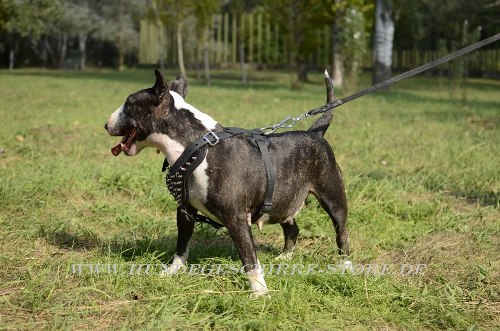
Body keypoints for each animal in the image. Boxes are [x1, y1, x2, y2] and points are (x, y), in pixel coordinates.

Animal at [104, 70, 350, 298]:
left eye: (129, 103)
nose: (106, 124)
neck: (198, 148)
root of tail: (315, 134)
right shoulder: (185, 211)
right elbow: (181, 245)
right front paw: (172, 271)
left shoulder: (236, 217)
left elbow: (249, 257)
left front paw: (259, 292)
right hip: (283, 199)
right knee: (292, 227)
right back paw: (286, 257)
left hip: (333, 197)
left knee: (341, 231)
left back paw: (345, 267)